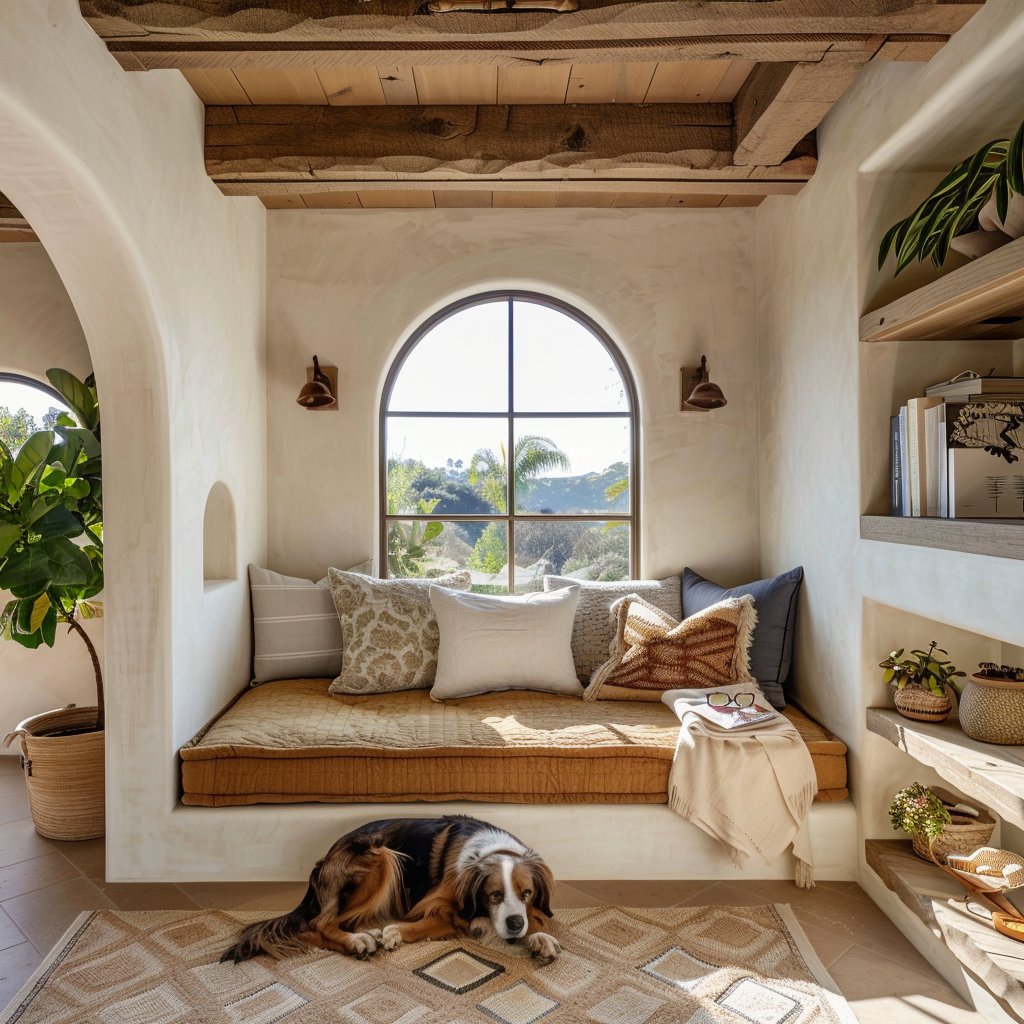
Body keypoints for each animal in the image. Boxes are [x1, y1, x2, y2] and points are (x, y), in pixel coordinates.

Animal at [219, 815, 565, 966]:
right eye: (494, 895)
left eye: (527, 893)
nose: (515, 925)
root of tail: (324, 860)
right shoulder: (439, 903)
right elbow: (432, 920)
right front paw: (393, 933)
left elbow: (539, 920)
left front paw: (540, 939)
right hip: (380, 855)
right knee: (316, 925)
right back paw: (357, 942)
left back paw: (366, 934)